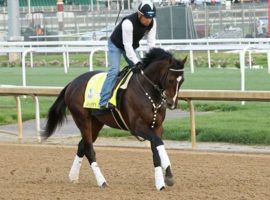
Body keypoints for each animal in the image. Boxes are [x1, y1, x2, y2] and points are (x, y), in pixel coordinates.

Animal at [42, 47, 186, 191]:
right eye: (171, 80)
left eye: (182, 80)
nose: (172, 103)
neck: (147, 91)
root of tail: (72, 83)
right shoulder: (137, 127)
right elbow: (158, 143)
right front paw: (166, 178)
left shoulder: (156, 126)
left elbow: (156, 149)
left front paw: (164, 179)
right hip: (82, 120)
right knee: (89, 149)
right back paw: (102, 181)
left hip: (96, 123)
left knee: (82, 146)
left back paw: (73, 176)